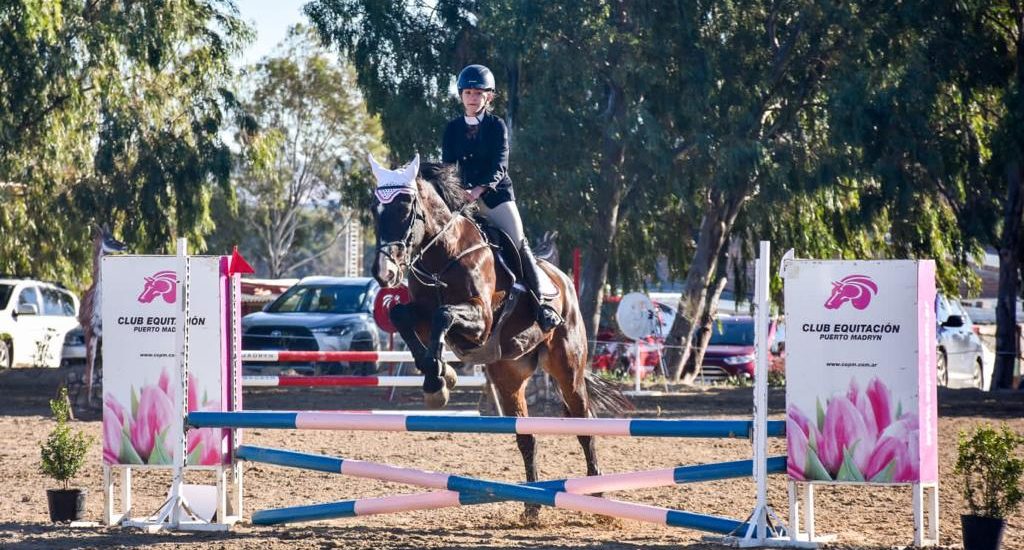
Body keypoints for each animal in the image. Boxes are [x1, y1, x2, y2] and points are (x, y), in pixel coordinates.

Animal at [368, 153, 630, 518]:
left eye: (406, 209)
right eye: (374, 210)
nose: (384, 273)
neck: (444, 256)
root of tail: (564, 280)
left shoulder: (481, 320)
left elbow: (443, 313)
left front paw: (438, 379)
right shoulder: (422, 316)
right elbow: (401, 315)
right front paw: (439, 377)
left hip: (567, 368)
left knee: (584, 425)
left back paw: (597, 493)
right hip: (508, 376)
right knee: (526, 436)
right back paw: (532, 507)